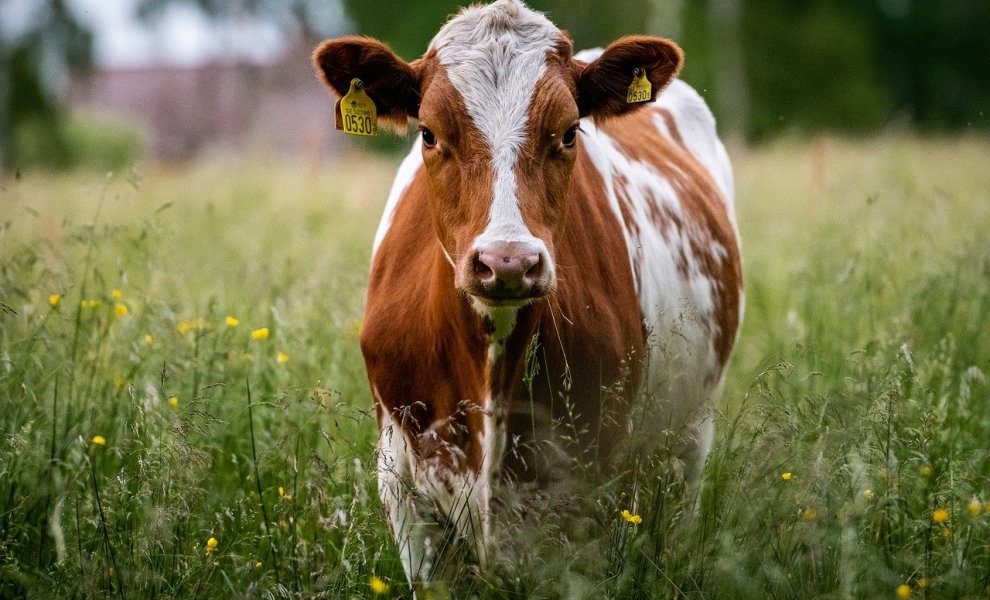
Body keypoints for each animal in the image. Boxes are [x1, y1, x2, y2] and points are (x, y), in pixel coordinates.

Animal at [314, 0, 740, 592]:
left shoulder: (587, 490)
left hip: (689, 438)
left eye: (569, 133)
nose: (508, 261)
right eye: (429, 133)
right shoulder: (404, 491)